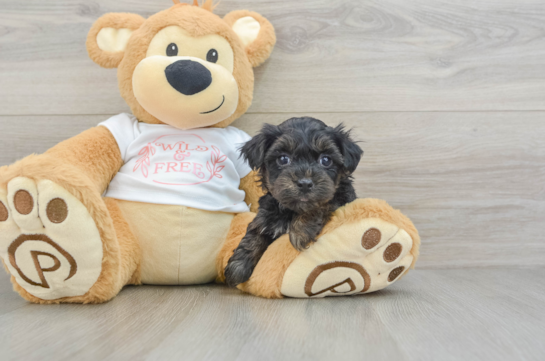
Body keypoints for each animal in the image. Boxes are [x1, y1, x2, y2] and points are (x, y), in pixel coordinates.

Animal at [223, 116, 364, 286]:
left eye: (326, 160)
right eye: (283, 159)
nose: (305, 183)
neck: (291, 210)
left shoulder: (340, 198)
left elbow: (322, 203)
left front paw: (301, 230)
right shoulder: (265, 216)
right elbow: (254, 233)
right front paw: (237, 267)